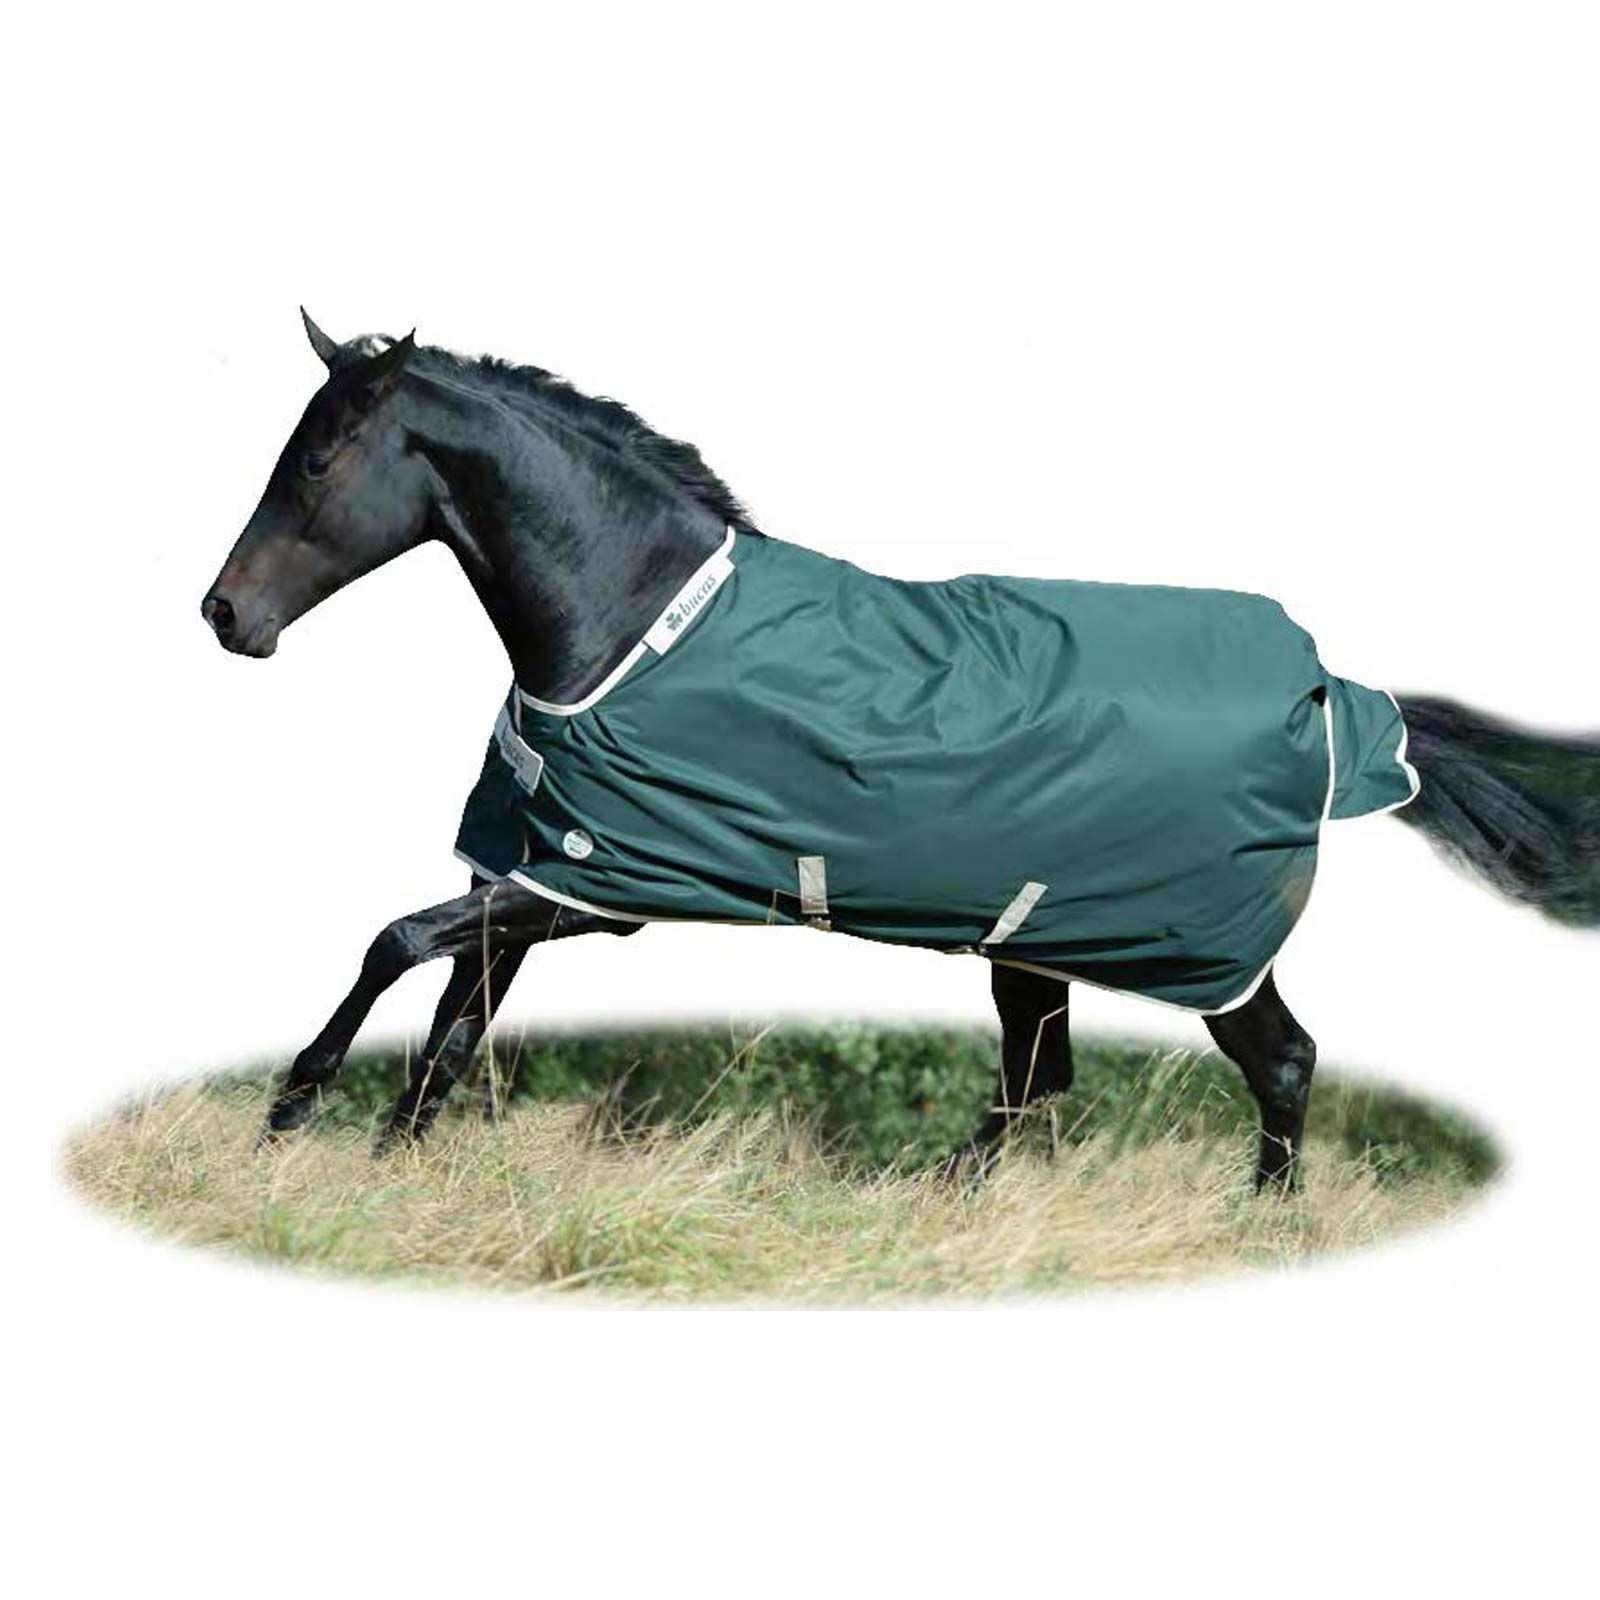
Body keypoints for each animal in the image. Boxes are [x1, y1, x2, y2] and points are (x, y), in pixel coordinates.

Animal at [201, 311, 1600, 1190]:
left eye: (318, 458)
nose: (225, 616)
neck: (626, 623)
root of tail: (1335, 694)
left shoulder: (603, 892)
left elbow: (393, 947)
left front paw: (286, 1117)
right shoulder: (532, 874)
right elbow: (447, 1030)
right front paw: (383, 1168)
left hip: (1195, 950)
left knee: (1281, 1064)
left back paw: (1258, 1225)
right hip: (1035, 939)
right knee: (1038, 1078)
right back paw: (931, 1196)